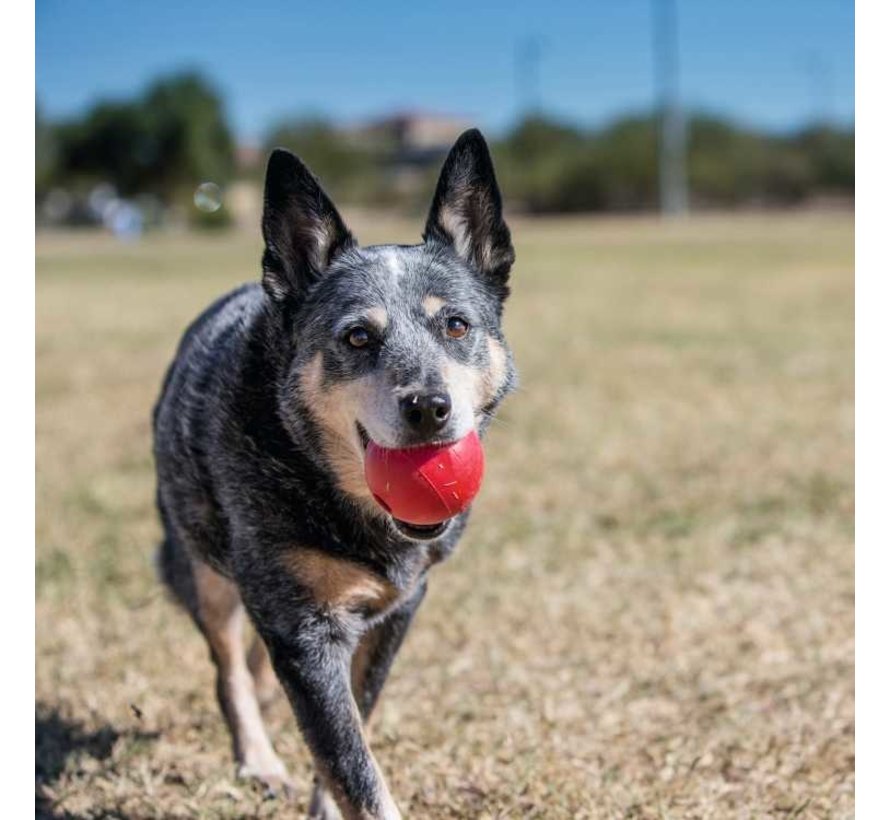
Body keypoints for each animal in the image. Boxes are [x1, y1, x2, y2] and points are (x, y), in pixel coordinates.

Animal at [151, 131, 512, 816]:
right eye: (358, 337)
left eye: (456, 324)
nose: (428, 407)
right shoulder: (301, 630)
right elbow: (351, 761)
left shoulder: (399, 607)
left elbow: (355, 722)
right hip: (200, 563)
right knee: (228, 669)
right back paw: (260, 760)